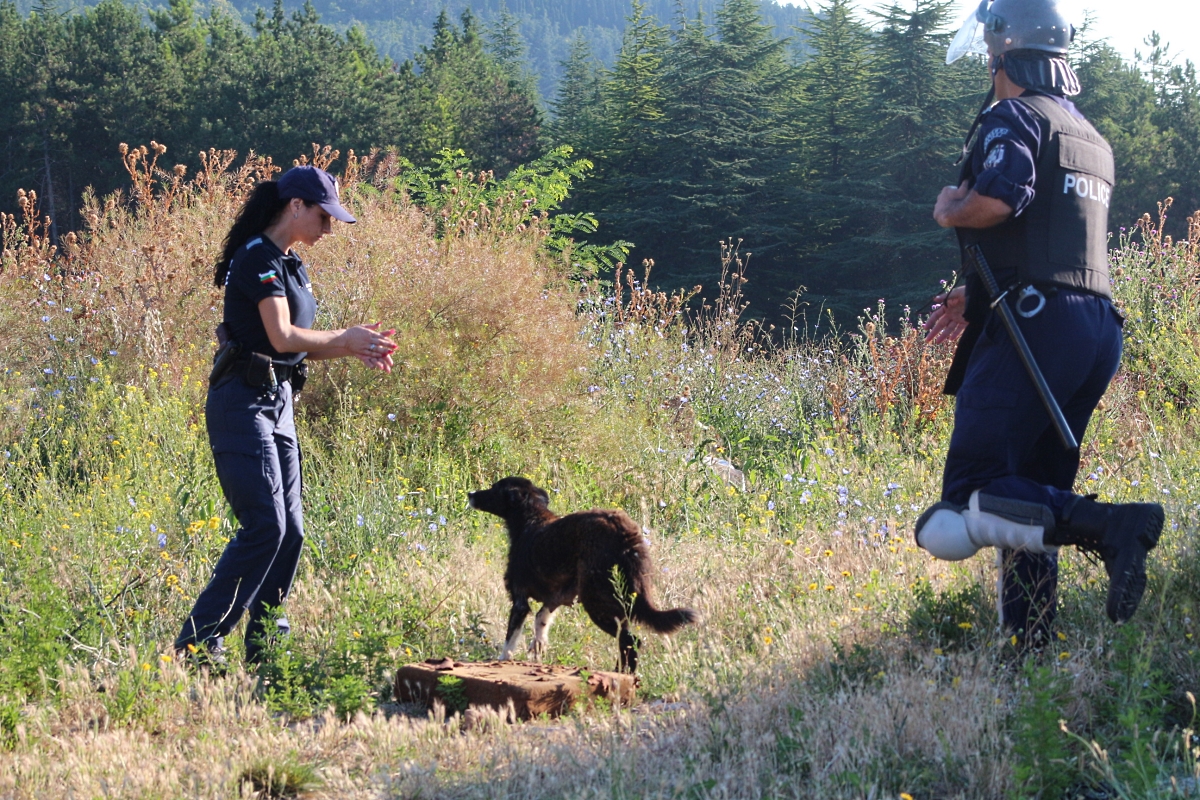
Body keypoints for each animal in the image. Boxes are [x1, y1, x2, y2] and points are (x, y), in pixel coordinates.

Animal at [465, 479, 700, 671]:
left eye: (494, 488)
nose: (470, 493)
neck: (531, 517)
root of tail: (622, 529)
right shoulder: (555, 599)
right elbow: (541, 623)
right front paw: (538, 651)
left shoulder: (520, 601)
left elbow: (510, 639)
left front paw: (502, 659)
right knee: (627, 641)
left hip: (597, 602)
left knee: (631, 641)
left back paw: (621, 675)